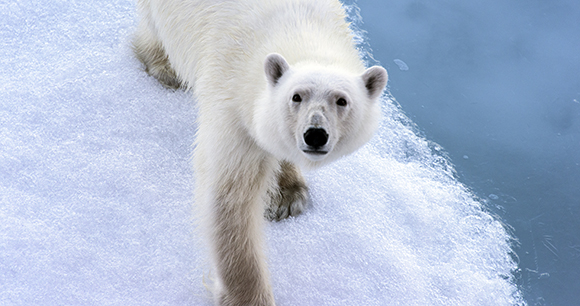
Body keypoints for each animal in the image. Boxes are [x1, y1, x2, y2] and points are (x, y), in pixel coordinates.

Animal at [134, 1, 388, 304]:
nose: (315, 134)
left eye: (342, 100)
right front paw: (248, 296)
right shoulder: (232, 105)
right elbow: (231, 197)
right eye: (296, 96)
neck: (297, 29)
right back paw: (164, 67)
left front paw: (287, 195)